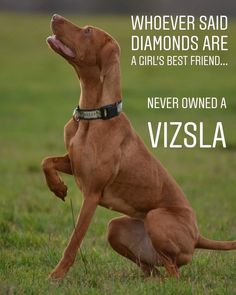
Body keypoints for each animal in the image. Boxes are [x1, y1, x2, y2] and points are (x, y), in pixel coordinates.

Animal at [42, 14, 236, 282]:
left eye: (88, 31)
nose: (54, 16)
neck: (94, 116)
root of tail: (197, 236)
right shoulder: (73, 162)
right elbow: (46, 162)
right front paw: (58, 188)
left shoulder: (91, 194)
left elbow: (74, 241)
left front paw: (57, 275)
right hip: (116, 228)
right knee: (153, 266)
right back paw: (146, 277)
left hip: (156, 217)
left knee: (174, 272)